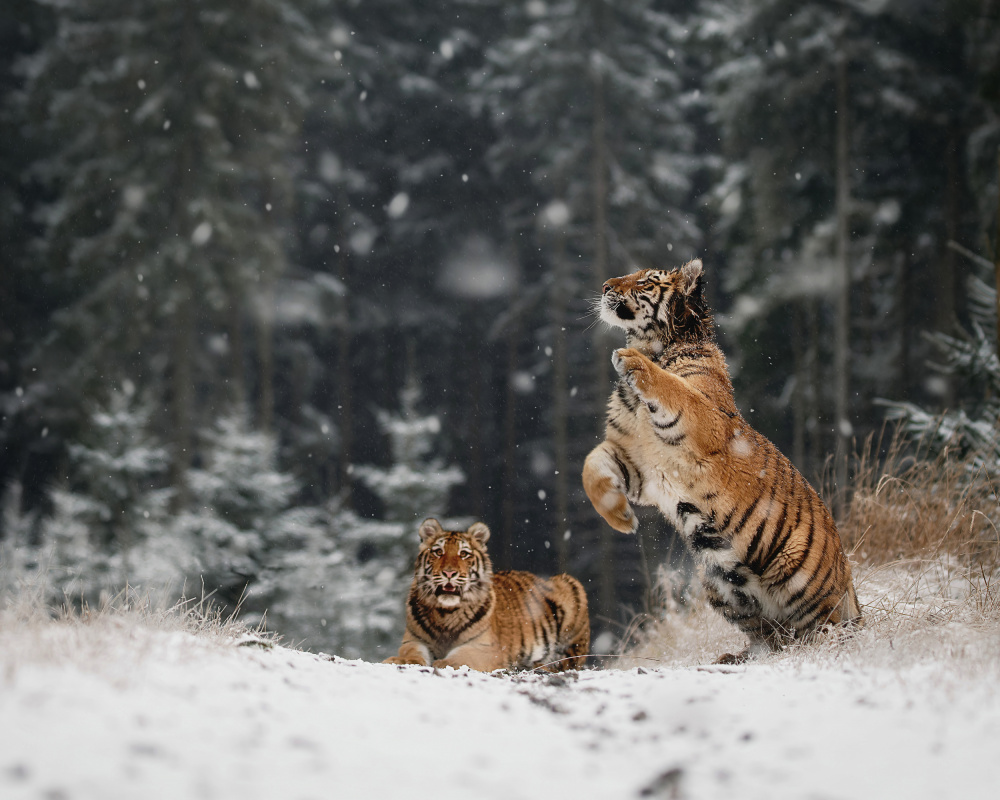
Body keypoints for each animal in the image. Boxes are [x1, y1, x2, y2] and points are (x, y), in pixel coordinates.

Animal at [384, 518, 590, 672]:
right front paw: (398, 660)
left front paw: (443, 662)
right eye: (438, 552)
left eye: (464, 554)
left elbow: (462, 656)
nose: (449, 573)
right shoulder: (413, 640)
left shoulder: (486, 648)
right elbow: (411, 653)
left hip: (570, 586)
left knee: (568, 661)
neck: (445, 613)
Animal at [582, 259, 861, 663]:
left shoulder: (704, 422)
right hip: (717, 580)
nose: (605, 285)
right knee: (771, 635)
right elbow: (591, 465)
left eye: (646, 281)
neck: (655, 345)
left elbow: (673, 387)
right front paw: (620, 518)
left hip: (795, 571)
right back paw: (740, 656)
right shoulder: (636, 464)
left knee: (827, 629)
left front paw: (632, 361)